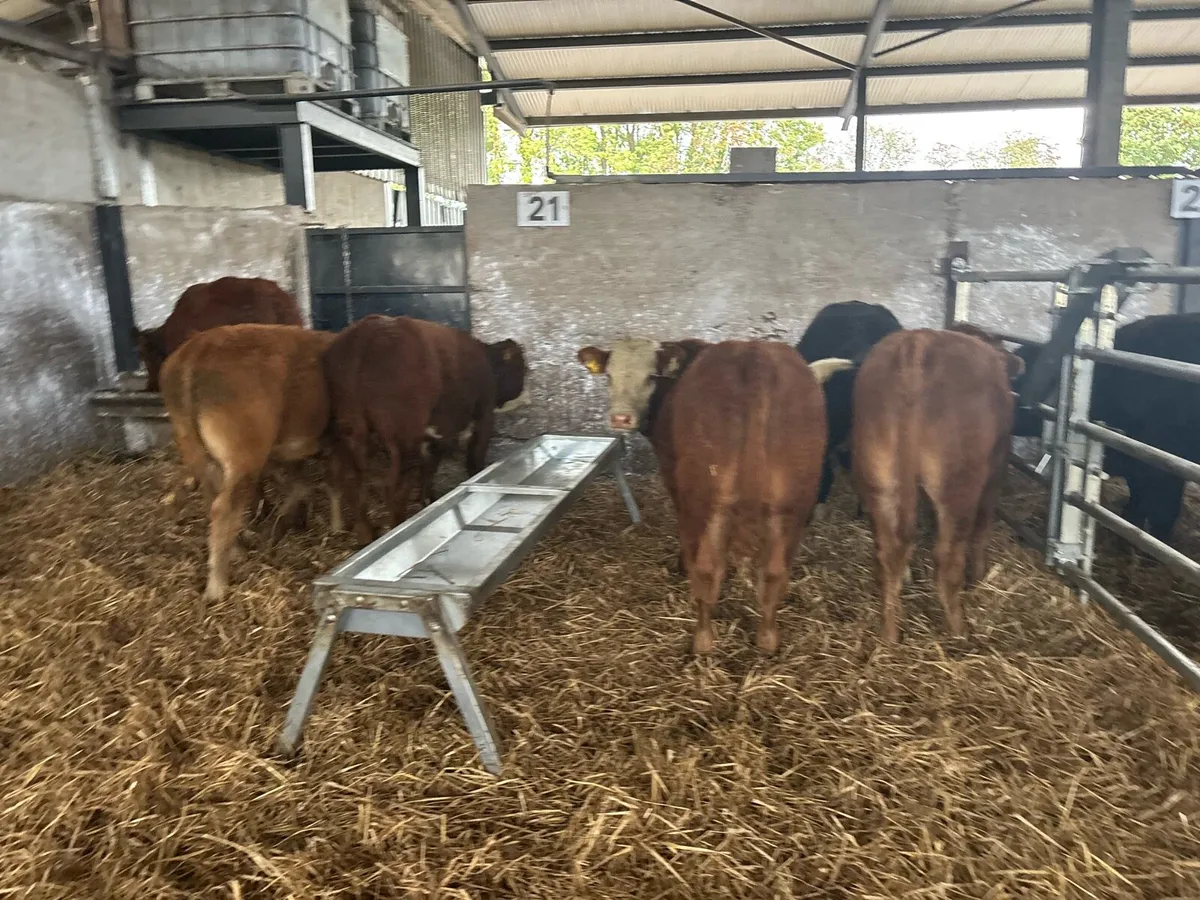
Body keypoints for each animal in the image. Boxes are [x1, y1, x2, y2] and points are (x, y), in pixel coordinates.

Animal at [160, 323, 337, 601]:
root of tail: (194, 354)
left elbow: (303, 483)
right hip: (243, 453)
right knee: (224, 508)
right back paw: (217, 587)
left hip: (194, 445)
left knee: (212, 497)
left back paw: (236, 549)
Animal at [322, 315, 527, 544]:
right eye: (520, 369)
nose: (524, 392)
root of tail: (365, 332)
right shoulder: (482, 416)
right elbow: (473, 457)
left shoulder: (434, 433)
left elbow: (428, 467)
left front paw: (427, 499)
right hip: (400, 438)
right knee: (393, 486)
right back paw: (394, 526)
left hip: (349, 429)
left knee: (352, 479)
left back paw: (364, 532)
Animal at [578, 338, 851, 653]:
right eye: (609, 376)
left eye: (651, 377)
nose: (621, 418)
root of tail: (756, 355)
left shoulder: (673, 473)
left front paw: (682, 565)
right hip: (791, 501)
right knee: (774, 572)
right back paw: (768, 639)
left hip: (709, 498)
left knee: (709, 570)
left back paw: (702, 639)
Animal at [853, 329, 1018, 643]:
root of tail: (917, 344)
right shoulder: (994, 477)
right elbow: (982, 530)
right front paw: (979, 576)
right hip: (957, 486)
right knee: (947, 558)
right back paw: (959, 631)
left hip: (879, 478)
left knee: (887, 554)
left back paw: (890, 633)